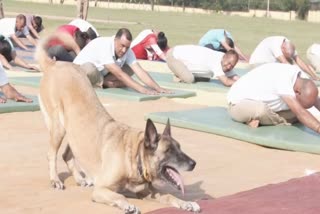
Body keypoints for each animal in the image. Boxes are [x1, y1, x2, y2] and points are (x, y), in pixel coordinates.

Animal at [35, 37, 200, 213]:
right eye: (168, 151)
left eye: (180, 147)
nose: (193, 163)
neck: (134, 156)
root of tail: (54, 64)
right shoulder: (100, 189)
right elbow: (120, 196)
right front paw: (128, 205)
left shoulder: (149, 192)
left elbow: (169, 196)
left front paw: (187, 203)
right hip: (58, 128)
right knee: (51, 154)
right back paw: (55, 179)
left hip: (74, 133)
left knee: (67, 154)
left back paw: (80, 178)